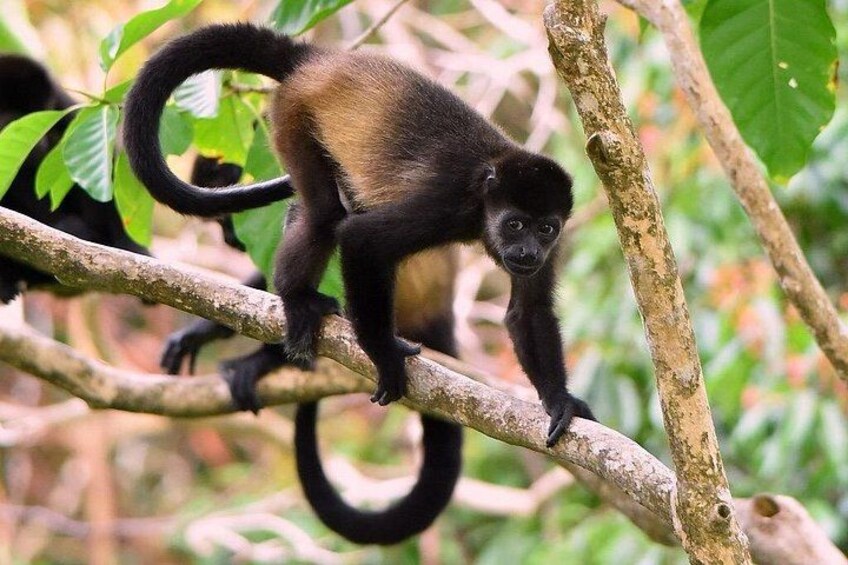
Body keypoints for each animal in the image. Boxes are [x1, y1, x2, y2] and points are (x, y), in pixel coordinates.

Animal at [123, 22, 593, 450]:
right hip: (293, 114)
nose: (529, 251)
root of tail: (318, 59)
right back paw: (297, 298)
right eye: (514, 224)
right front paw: (383, 353)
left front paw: (559, 401)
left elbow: (527, 311)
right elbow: (361, 239)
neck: (484, 199)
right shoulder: (447, 205)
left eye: (545, 228)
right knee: (325, 216)